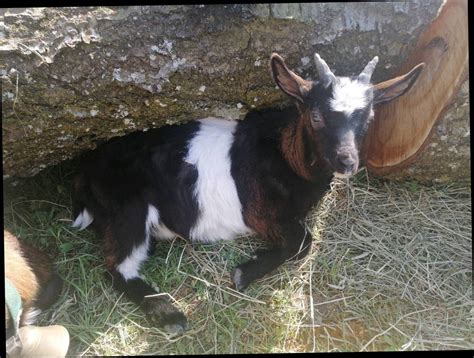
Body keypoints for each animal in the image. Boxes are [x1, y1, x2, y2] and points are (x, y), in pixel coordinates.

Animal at [72, 51, 424, 332]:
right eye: (316, 115)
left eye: (369, 117)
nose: (347, 161)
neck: (286, 156)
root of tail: (87, 166)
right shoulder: (260, 212)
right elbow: (304, 242)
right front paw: (244, 273)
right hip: (130, 208)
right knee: (117, 267)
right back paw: (169, 314)